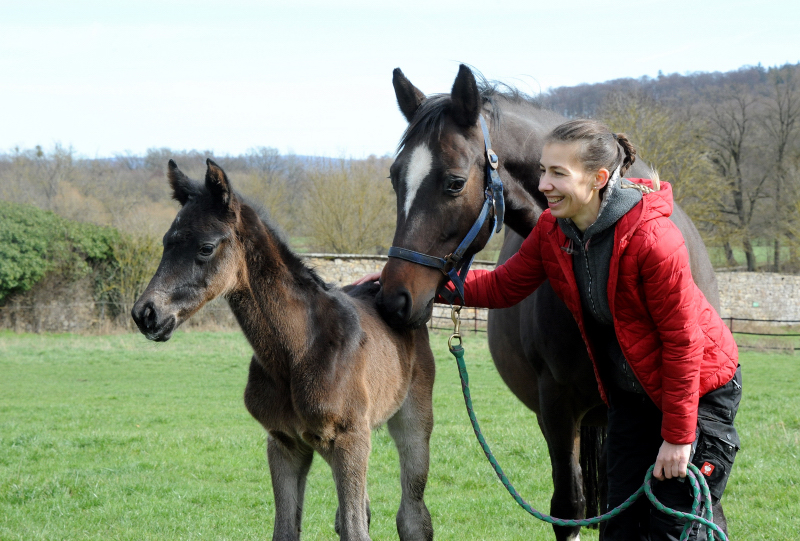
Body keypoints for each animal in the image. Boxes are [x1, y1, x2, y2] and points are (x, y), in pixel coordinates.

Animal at [134, 158, 440, 536]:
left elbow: (357, 531)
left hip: (411, 420)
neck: (296, 351)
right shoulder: (285, 442)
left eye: (205, 247)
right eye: (166, 243)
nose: (146, 313)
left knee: (412, 515)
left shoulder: (350, 440)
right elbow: (288, 529)